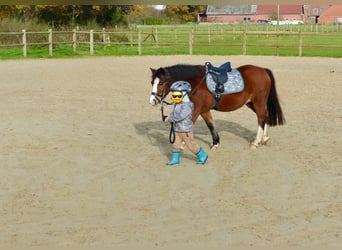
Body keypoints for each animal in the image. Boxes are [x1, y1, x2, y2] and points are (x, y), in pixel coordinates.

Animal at [150, 63, 286, 148]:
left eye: (161, 83)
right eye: (152, 82)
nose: (153, 101)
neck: (195, 83)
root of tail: (263, 70)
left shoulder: (196, 109)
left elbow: (188, 125)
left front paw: (182, 145)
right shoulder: (204, 110)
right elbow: (211, 125)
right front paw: (215, 143)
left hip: (259, 101)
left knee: (261, 118)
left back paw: (256, 142)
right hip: (251, 103)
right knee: (266, 116)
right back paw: (265, 139)